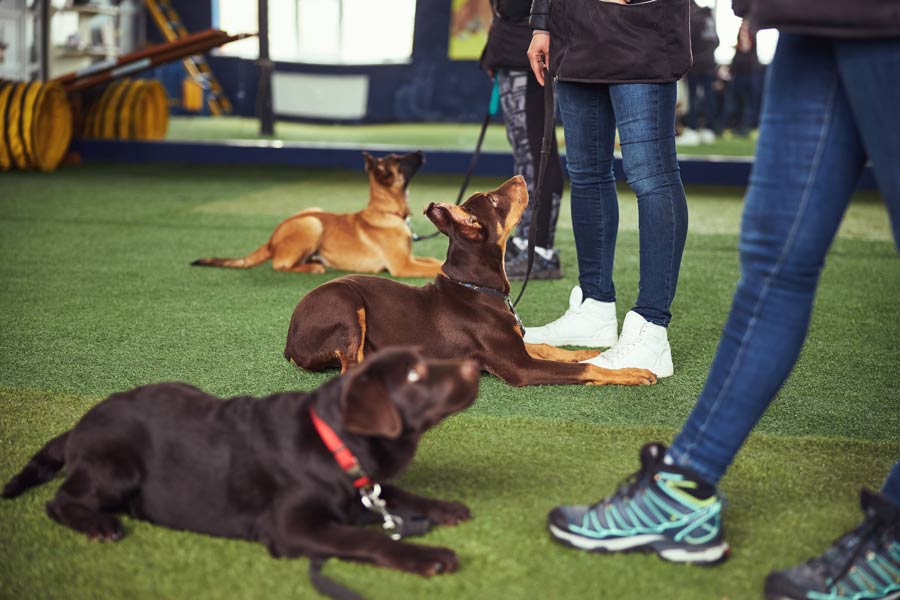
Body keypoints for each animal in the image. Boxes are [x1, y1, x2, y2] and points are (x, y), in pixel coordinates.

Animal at [1, 346, 478, 576]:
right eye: (414, 375)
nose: (474, 367)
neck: (333, 442)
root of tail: (80, 424)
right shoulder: (291, 526)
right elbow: (366, 538)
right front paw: (427, 556)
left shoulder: (365, 487)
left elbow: (393, 490)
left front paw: (443, 507)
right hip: (115, 466)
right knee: (60, 501)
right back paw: (99, 524)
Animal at [192, 152, 444, 278]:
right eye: (400, 160)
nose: (421, 151)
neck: (387, 211)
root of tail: (272, 238)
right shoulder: (403, 266)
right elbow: (436, 268)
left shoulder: (410, 258)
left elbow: (434, 261)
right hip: (312, 224)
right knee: (280, 265)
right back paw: (314, 267)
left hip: (314, 210)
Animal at [284, 176, 656, 386]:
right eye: (492, 199)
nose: (520, 176)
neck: (477, 288)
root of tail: (290, 341)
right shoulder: (519, 368)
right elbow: (586, 370)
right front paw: (632, 373)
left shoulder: (516, 345)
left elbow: (550, 347)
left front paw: (587, 351)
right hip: (345, 302)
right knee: (350, 369)